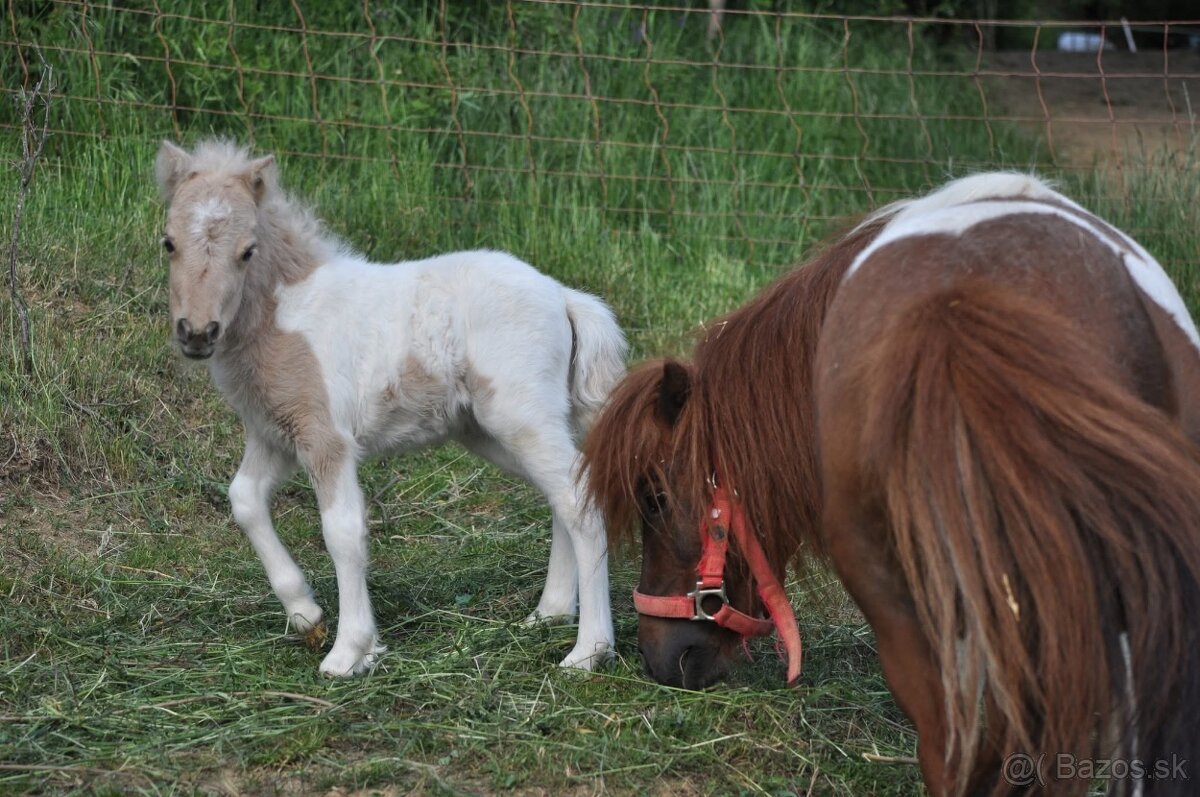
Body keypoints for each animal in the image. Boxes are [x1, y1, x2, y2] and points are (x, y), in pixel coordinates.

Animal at [155, 139, 627, 677]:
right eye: (168, 242)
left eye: (247, 251)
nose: (197, 333)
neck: (286, 315)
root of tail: (563, 295)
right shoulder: (275, 434)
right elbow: (244, 500)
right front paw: (307, 614)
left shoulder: (327, 439)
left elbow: (342, 532)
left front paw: (349, 652)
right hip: (491, 431)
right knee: (564, 494)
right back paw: (549, 613)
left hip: (521, 417)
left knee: (577, 501)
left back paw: (588, 651)